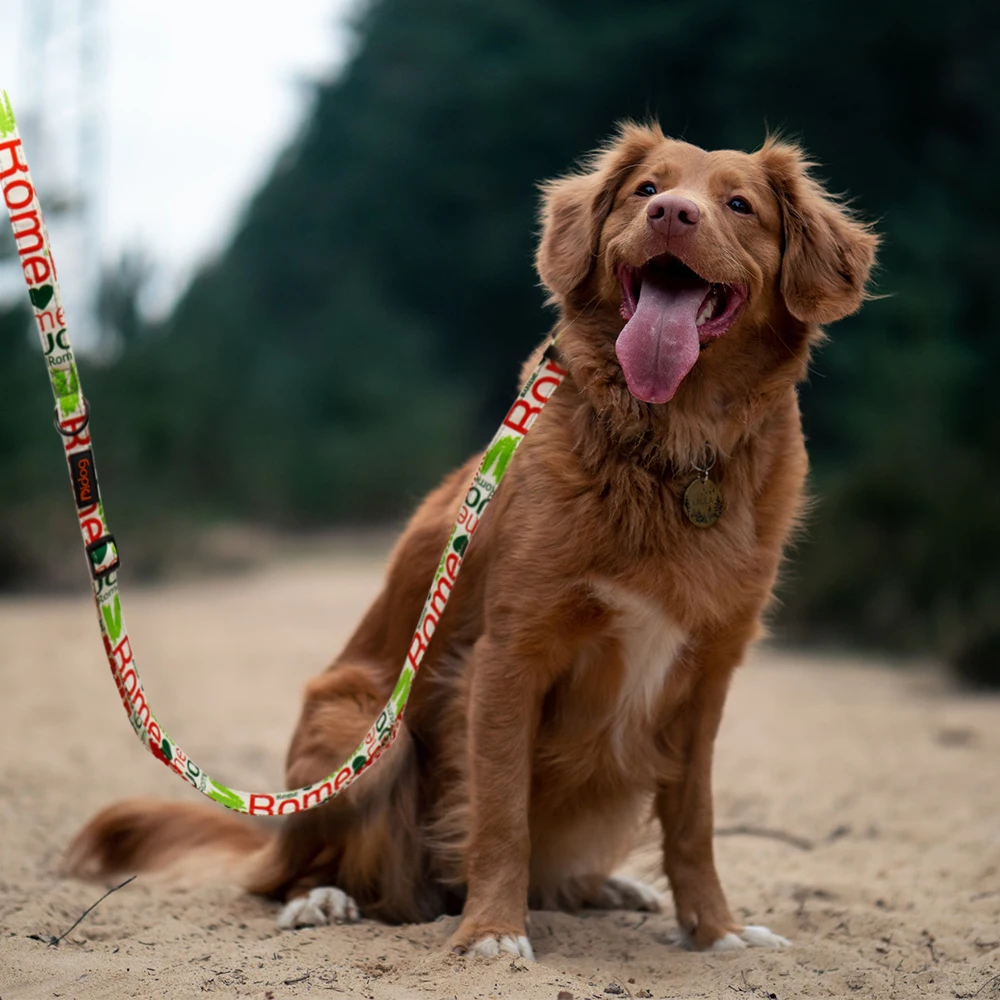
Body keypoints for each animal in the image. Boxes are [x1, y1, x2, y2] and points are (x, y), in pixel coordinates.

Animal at [66, 123, 876, 960]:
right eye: (646, 190)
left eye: (739, 205)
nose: (673, 215)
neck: (672, 444)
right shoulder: (507, 657)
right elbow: (501, 812)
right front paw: (492, 930)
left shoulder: (707, 678)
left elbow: (695, 822)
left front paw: (715, 929)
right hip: (365, 733)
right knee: (292, 875)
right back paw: (321, 898)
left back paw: (602, 888)